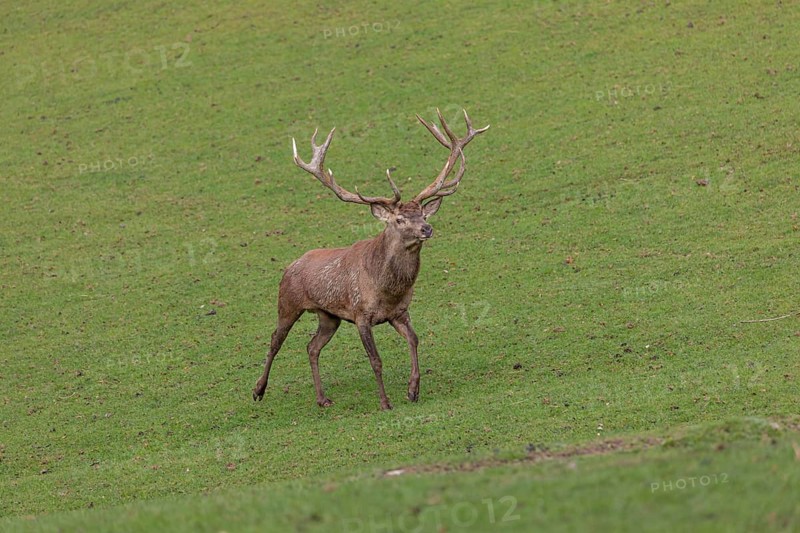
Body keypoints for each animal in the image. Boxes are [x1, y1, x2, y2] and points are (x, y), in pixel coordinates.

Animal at [252, 109, 489, 410]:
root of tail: (291, 265)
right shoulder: (360, 313)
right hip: (288, 303)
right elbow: (376, 360)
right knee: (275, 339)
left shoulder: (399, 312)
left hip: (329, 316)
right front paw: (385, 403)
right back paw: (258, 390)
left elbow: (415, 340)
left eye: (423, 214)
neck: (387, 289)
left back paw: (322, 398)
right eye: (399, 219)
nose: (427, 228)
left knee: (312, 346)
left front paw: (413, 390)